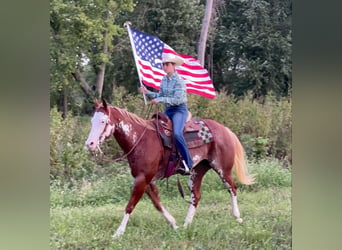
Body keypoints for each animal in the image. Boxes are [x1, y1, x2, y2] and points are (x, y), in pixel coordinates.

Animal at [85, 98, 255, 237]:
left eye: (103, 121)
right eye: (92, 121)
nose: (90, 144)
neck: (140, 140)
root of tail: (225, 130)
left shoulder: (142, 179)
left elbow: (130, 205)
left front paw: (118, 232)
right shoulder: (146, 179)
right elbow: (157, 203)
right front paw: (174, 224)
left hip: (222, 169)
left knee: (232, 188)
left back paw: (237, 217)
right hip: (198, 171)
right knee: (196, 195)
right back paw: (186, 224)